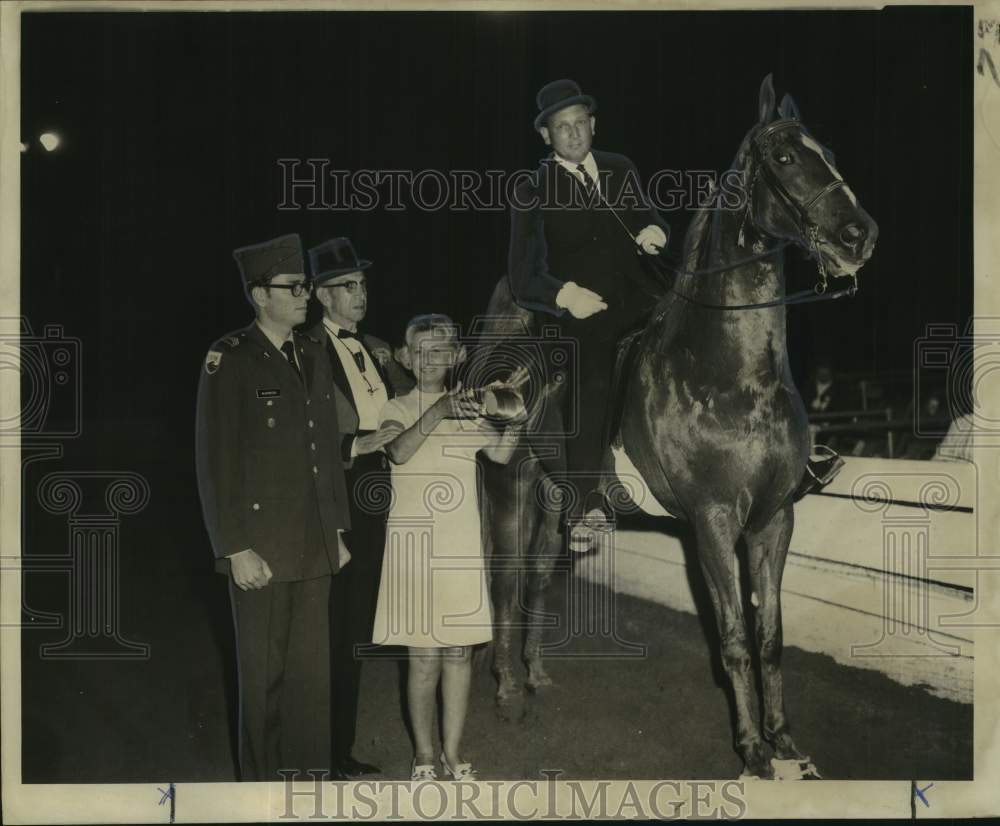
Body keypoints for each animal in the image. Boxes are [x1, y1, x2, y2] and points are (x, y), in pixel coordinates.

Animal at [468, 74, 876, 776]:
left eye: (827, 151)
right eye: (786, 157)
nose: (858, 236)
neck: (731, 375)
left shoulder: (774, 518)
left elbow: (770, 636)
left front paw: (786, 744)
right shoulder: (711, 521)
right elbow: (734, 637)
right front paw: (752, 751)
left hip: (553, 498)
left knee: (538, 580)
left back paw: (538, 674)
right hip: (509, 493)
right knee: (505, 583)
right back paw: (508, 692)